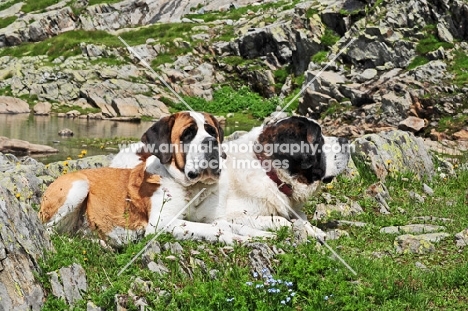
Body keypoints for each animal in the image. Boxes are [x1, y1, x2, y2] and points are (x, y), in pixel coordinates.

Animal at [41, 111, 274, 246]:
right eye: (188, 134)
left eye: (212, 131)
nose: (211, 142)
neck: (192, 188)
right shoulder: (162, 222)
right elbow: (213, 228)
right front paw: (236, 238)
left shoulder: (214, 217)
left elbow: (232, 225)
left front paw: (263, 235)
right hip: (79, 186)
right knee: (49, 230)